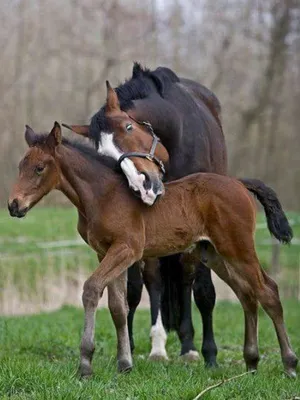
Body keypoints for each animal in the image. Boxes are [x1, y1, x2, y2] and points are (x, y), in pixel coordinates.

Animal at [8, 122, 298, 378]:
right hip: (215, 254)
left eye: (39, 168)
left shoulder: (127, 249)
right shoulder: (106, 252)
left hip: (239, 248)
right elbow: (118, 307)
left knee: (268, 291)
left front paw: (86, 364)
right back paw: (251, 362)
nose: (13, 205)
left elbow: (91, 289)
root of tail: (238, 183)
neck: (103, 195)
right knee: (247, 295)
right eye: (21, 166)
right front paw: (124, 364)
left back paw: (289, 364)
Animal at [63, 63, 227, 366]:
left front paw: (208, 353)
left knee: (186, 278)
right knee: (156, 280)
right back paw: (159, 346)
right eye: (102, 154)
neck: (177, 131)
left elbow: (202, 290)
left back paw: (189, 346)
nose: (143, 185)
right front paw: (130, 346)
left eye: (128, 127)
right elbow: (134, 289)